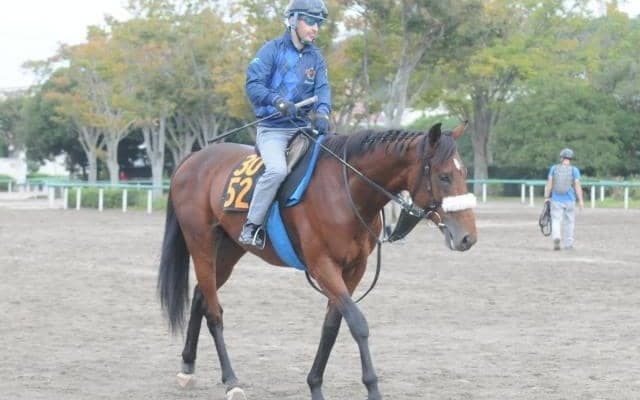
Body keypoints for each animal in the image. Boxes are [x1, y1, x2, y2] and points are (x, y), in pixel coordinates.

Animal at [157, 121, 478, 400]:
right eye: (444, 176)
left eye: (463, 173)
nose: (468, 237)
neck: (345, 191)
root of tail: (193, 158)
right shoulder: (323, 266)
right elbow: (358, 324)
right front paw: (372, 388)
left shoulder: (353, 269)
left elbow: (332, 325)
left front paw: (315, 384)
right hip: (201, 243)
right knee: (214, 312)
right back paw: (231, 380)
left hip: (229, 250)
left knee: (200, 295)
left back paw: (187, 366)